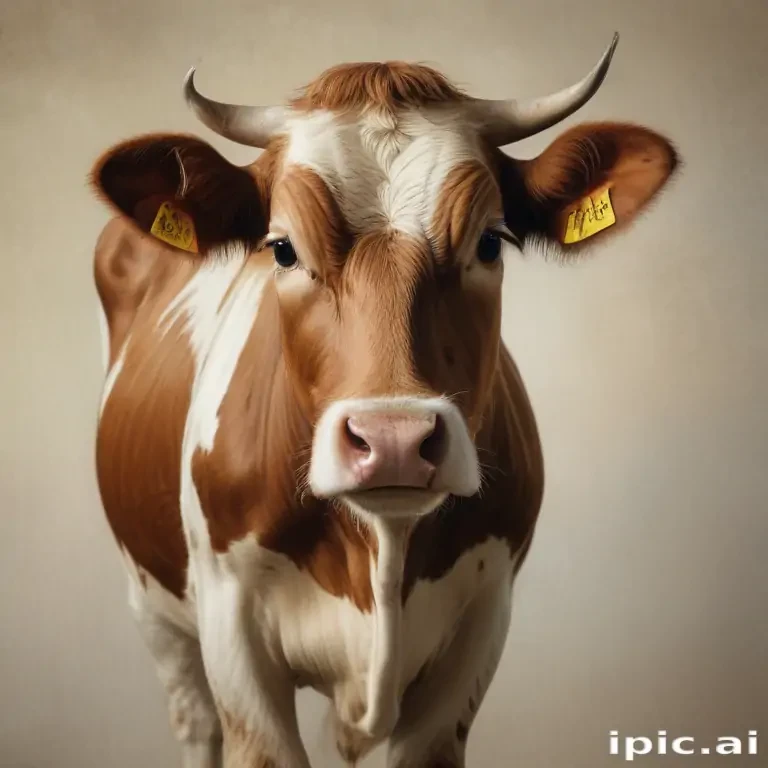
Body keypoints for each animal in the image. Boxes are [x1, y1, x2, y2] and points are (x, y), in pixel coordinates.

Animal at [90, 32, 678, 768]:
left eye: (491, 242)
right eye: (282, 249)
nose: (393, 439)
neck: (379, 549)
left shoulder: (481, 624)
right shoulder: (232, 632)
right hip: (156, 613)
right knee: (195, 723)